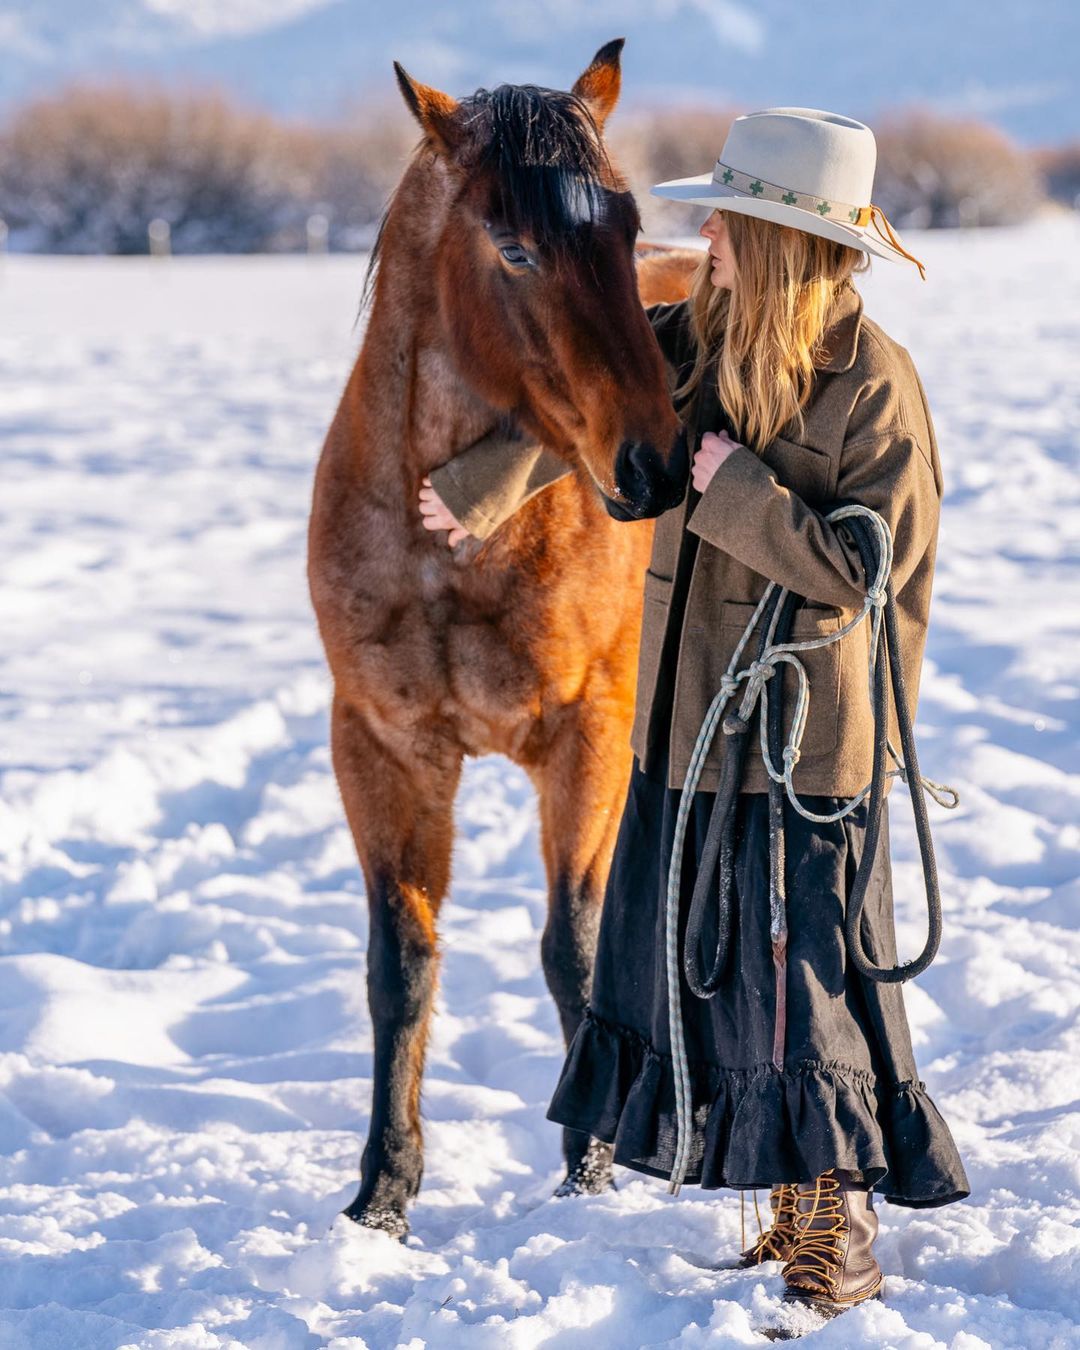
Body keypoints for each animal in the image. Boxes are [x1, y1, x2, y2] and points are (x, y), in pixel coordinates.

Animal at [308, 38, 696, 1238]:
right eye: (514, 246)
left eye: (624, 226)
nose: (656, 464)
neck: (453, 535)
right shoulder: (383, 748)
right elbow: (403, 963)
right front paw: (383, 1193)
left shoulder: (586, 736)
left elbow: (574, 949)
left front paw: (590, 1167)